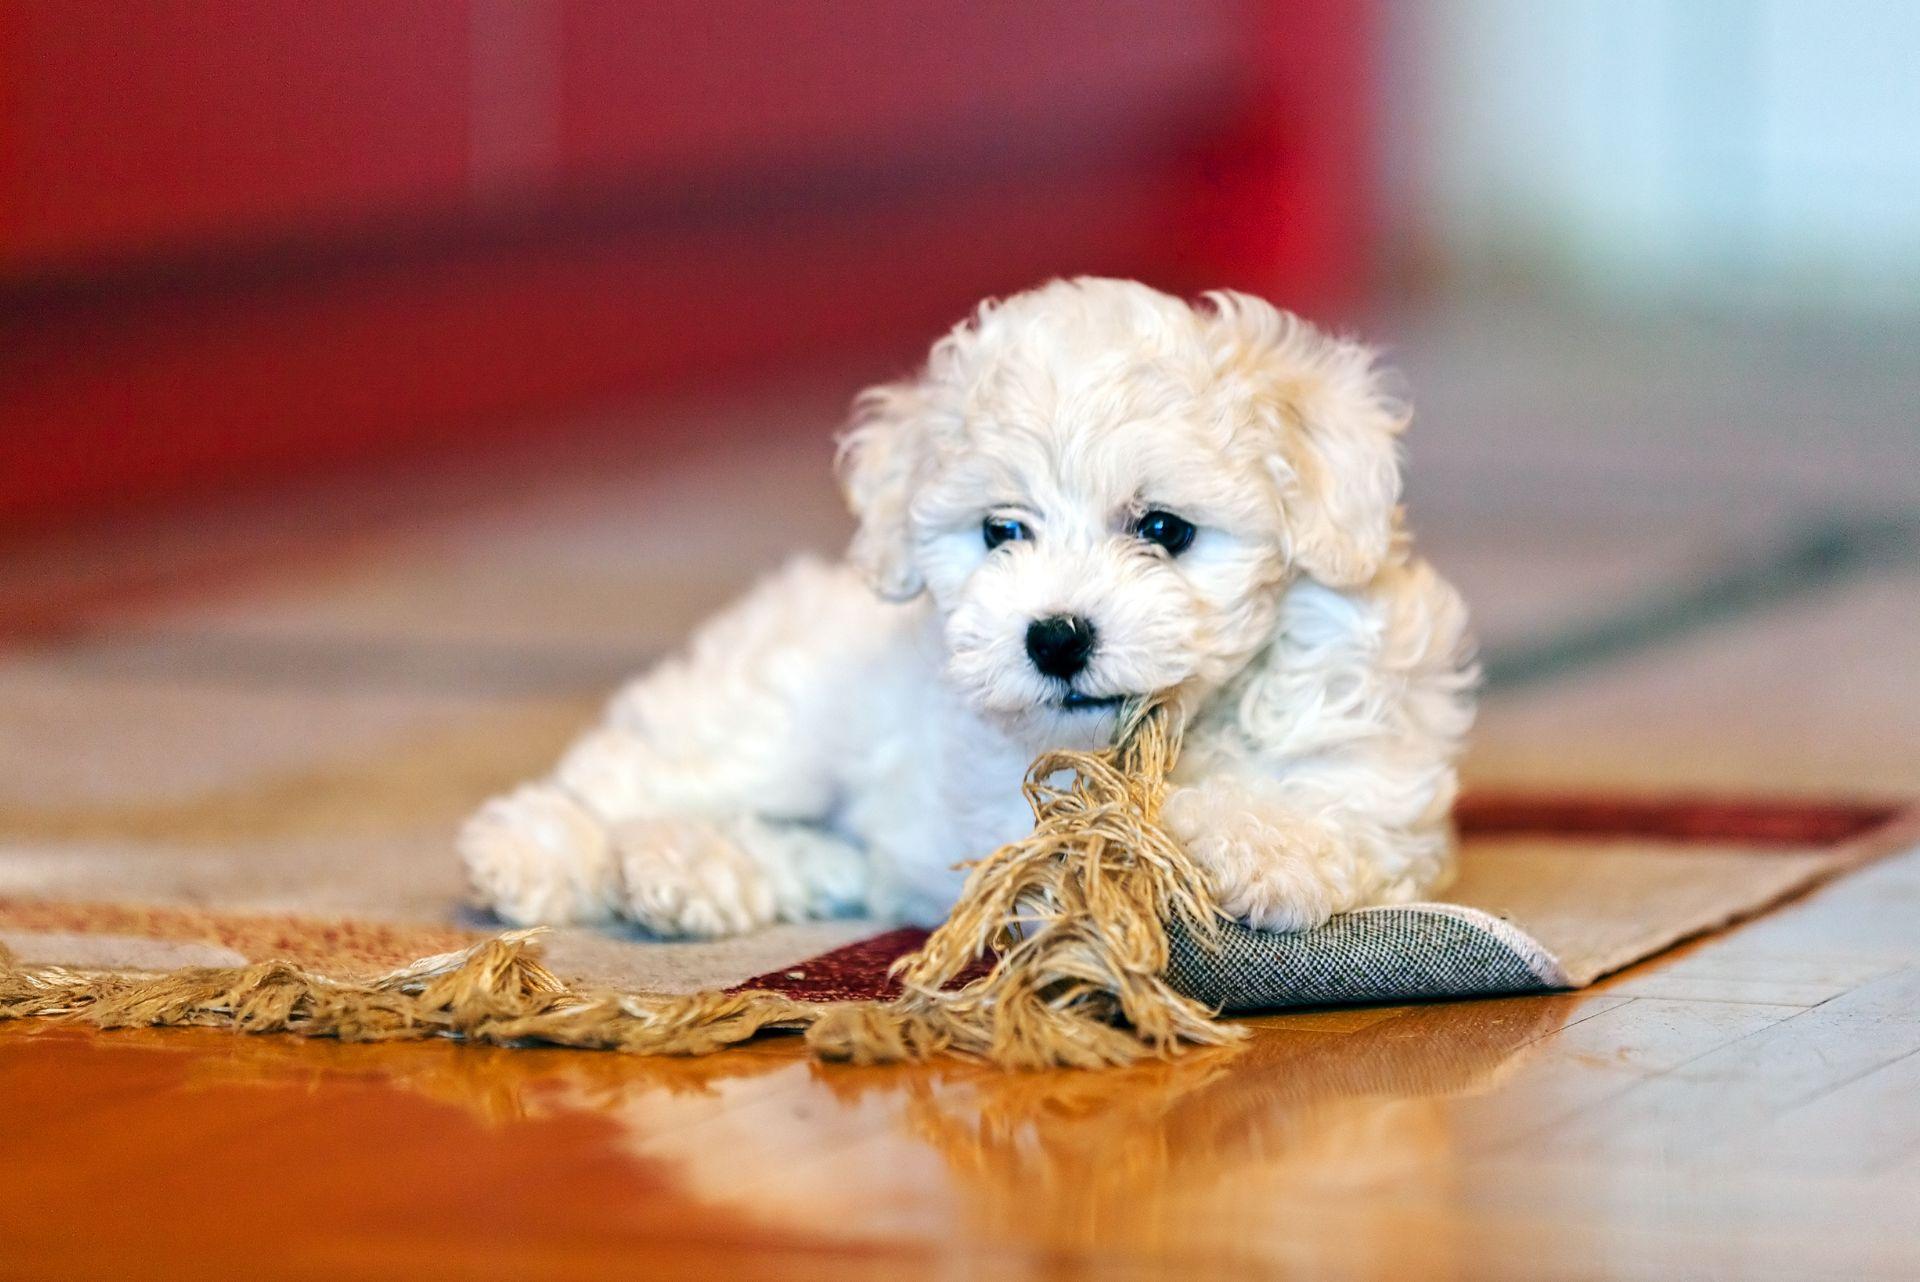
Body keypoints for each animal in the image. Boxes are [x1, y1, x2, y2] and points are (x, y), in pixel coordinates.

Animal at [456, 278, 1474, 940]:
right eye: (1002, 531)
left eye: (1163, 528)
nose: (1056, 637)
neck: (1189, 724)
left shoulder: (1382, 771)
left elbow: (1337, 806)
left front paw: (1261, 845)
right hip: (770, 727)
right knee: (626, 777)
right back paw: (532, 855)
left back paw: (679, 871)